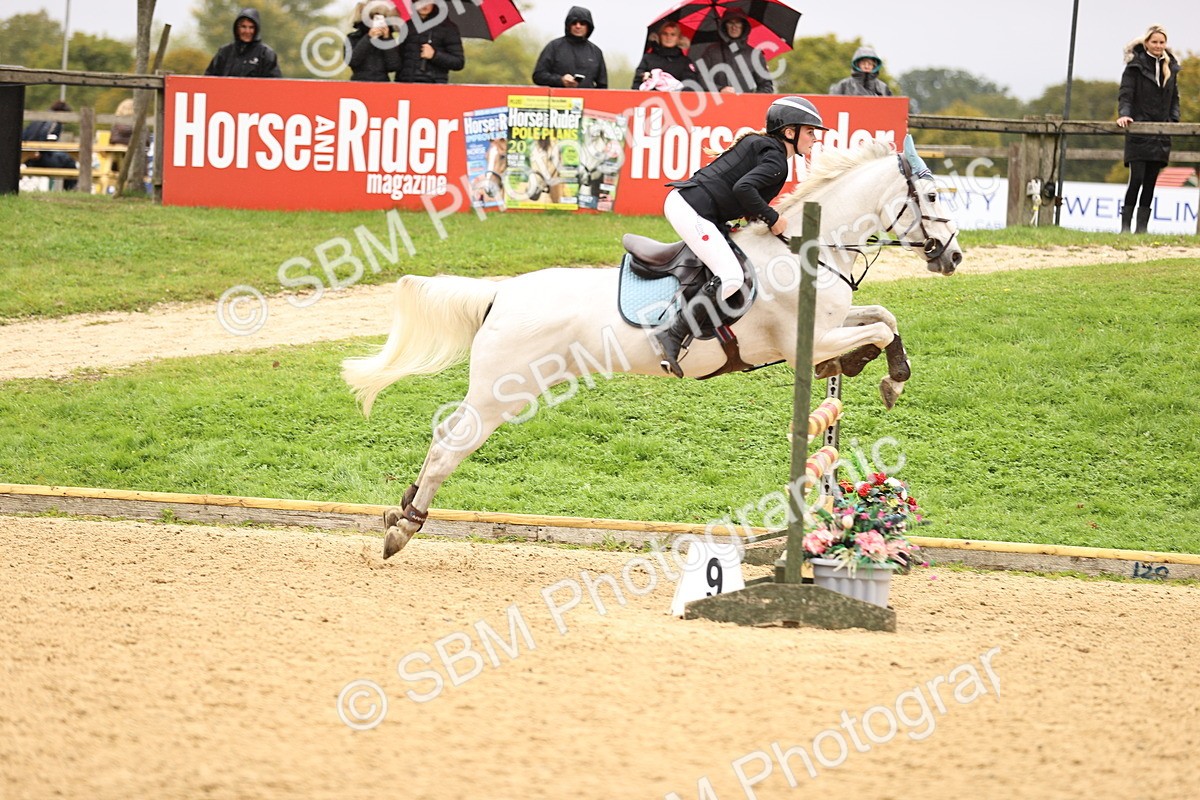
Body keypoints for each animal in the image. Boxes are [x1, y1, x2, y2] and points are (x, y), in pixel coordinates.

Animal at [343, 136, 963, 558]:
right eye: (931, 195)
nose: (953, 257)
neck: (807, 246)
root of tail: (503, 292)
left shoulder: (828, 329)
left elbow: (883, 318)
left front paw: (876, 369)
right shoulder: (804, 345)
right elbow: (878, 329)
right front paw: (888, 377)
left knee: (443, 437)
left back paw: (402, 513)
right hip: (501, 393)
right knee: (451, 446)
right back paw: (404, 528)